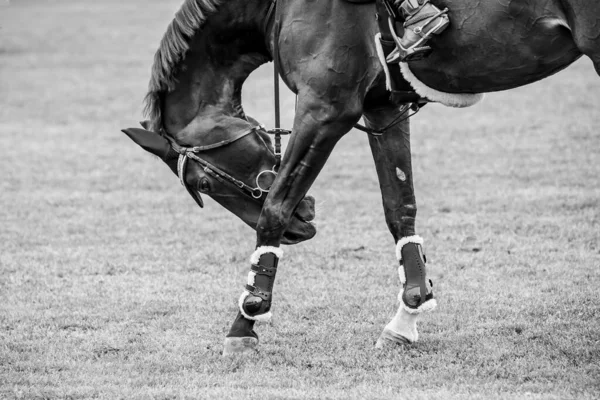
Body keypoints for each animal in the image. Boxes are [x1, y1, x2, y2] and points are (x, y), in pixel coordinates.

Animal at [122, 0, 600, 354]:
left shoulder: (325, 108)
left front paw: (246, 320)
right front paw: (406, 318)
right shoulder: (381, 105)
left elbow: (274, 208)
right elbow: (399, 207)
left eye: (204, 184)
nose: (300, 230)